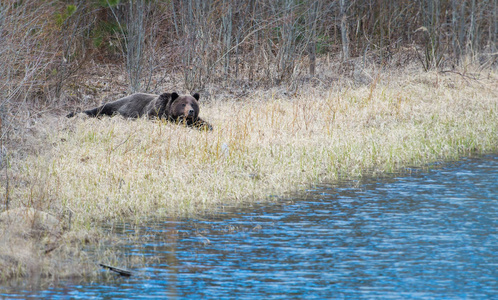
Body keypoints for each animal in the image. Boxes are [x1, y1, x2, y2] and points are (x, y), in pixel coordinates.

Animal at [65, 92, 211, 130]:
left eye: (193, 103)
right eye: (183, 104)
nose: (191, 111)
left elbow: (202, 123)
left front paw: (208, 126)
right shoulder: (154, 112)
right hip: (117, 107)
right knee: (100, 109)